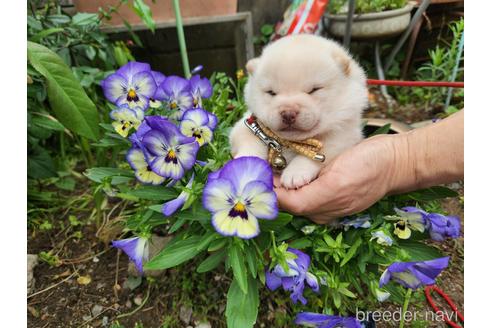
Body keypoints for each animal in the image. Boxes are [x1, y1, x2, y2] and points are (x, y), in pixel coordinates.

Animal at [229, 34, 368, 188]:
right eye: (271, 92)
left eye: (314, 90)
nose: (288, 114)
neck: (292, 142)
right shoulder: (247, 125)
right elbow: (249, 141)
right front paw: (245, 166)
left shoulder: (343, 137)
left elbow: (316, 153)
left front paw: (295, 174)